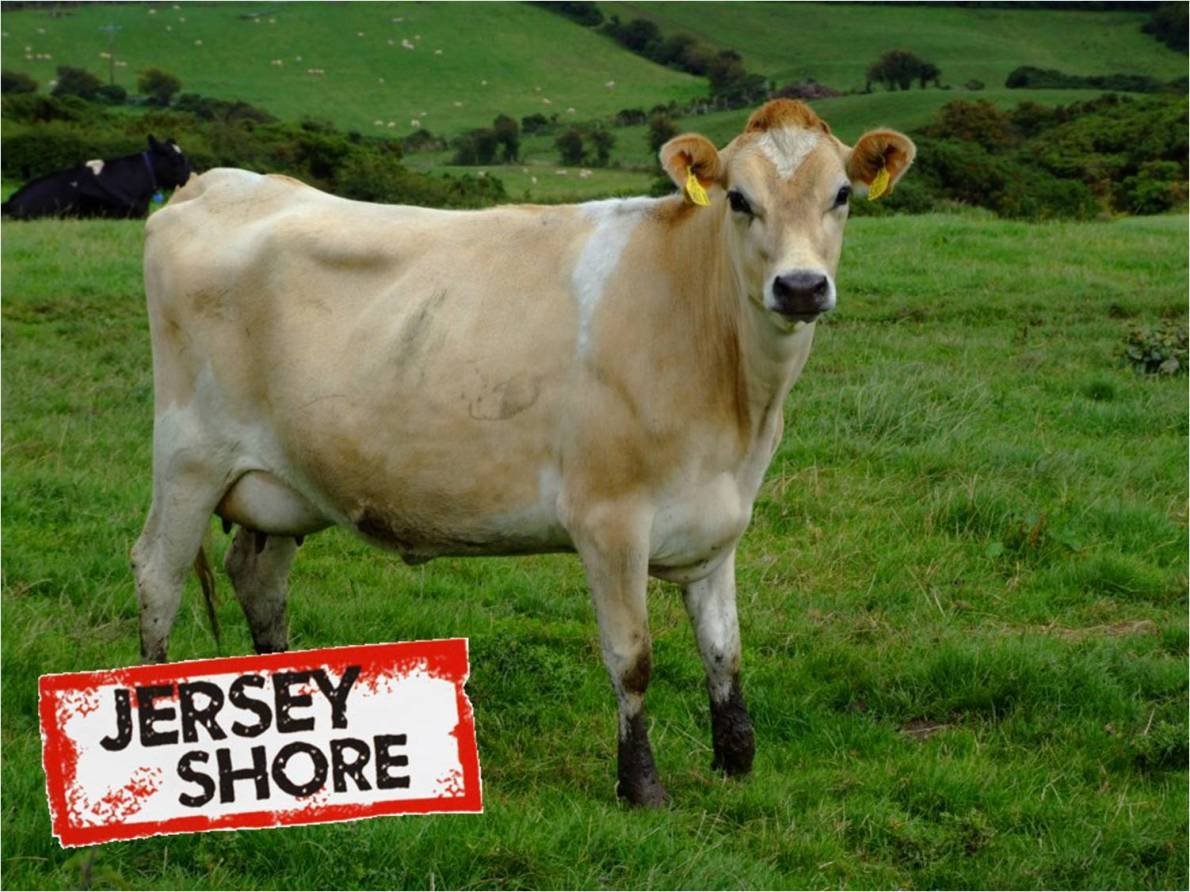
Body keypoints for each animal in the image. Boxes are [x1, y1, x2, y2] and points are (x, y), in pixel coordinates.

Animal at [134, 99, 914, 806]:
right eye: (739, 199)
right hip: (189, 458)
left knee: (257, 578)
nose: (801, 286)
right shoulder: (609, 519)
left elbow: (724, 651)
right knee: (157, 577)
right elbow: (632, 659)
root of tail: (220, 181)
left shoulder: (719, 521)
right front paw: (642, 787)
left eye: (842, 195)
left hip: (282, 484)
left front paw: (736, 764)